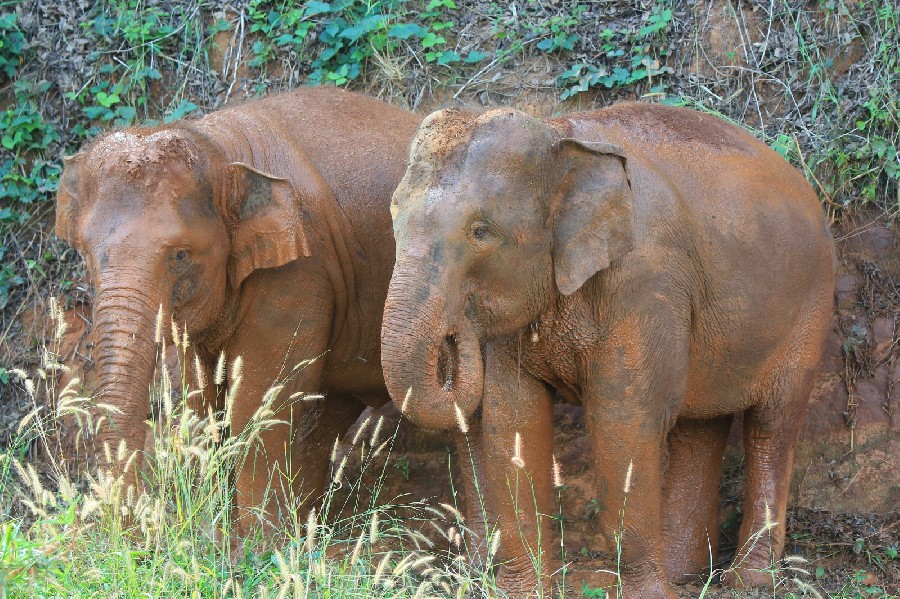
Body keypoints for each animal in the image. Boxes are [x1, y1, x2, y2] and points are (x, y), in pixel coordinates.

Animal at [56, 84, 422, 536]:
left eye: (180, 255)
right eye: (85, 255)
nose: (137, 533)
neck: (221, 148)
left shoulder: (300, 271)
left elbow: (257, 398)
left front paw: (254, 542)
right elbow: (201, 394)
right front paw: (213, 523)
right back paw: (308, 524)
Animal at [382, 105, 836, 596]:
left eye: (481, 231)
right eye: (392, 216)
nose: (458, 329)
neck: (561, 134)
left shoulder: (643, 282)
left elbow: (624, 421)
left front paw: (648, 594)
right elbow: (515, 420)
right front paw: (522, 591)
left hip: (810, 309)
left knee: (772, 425)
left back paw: (745, 581)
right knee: (700, 425)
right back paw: (685, 575)